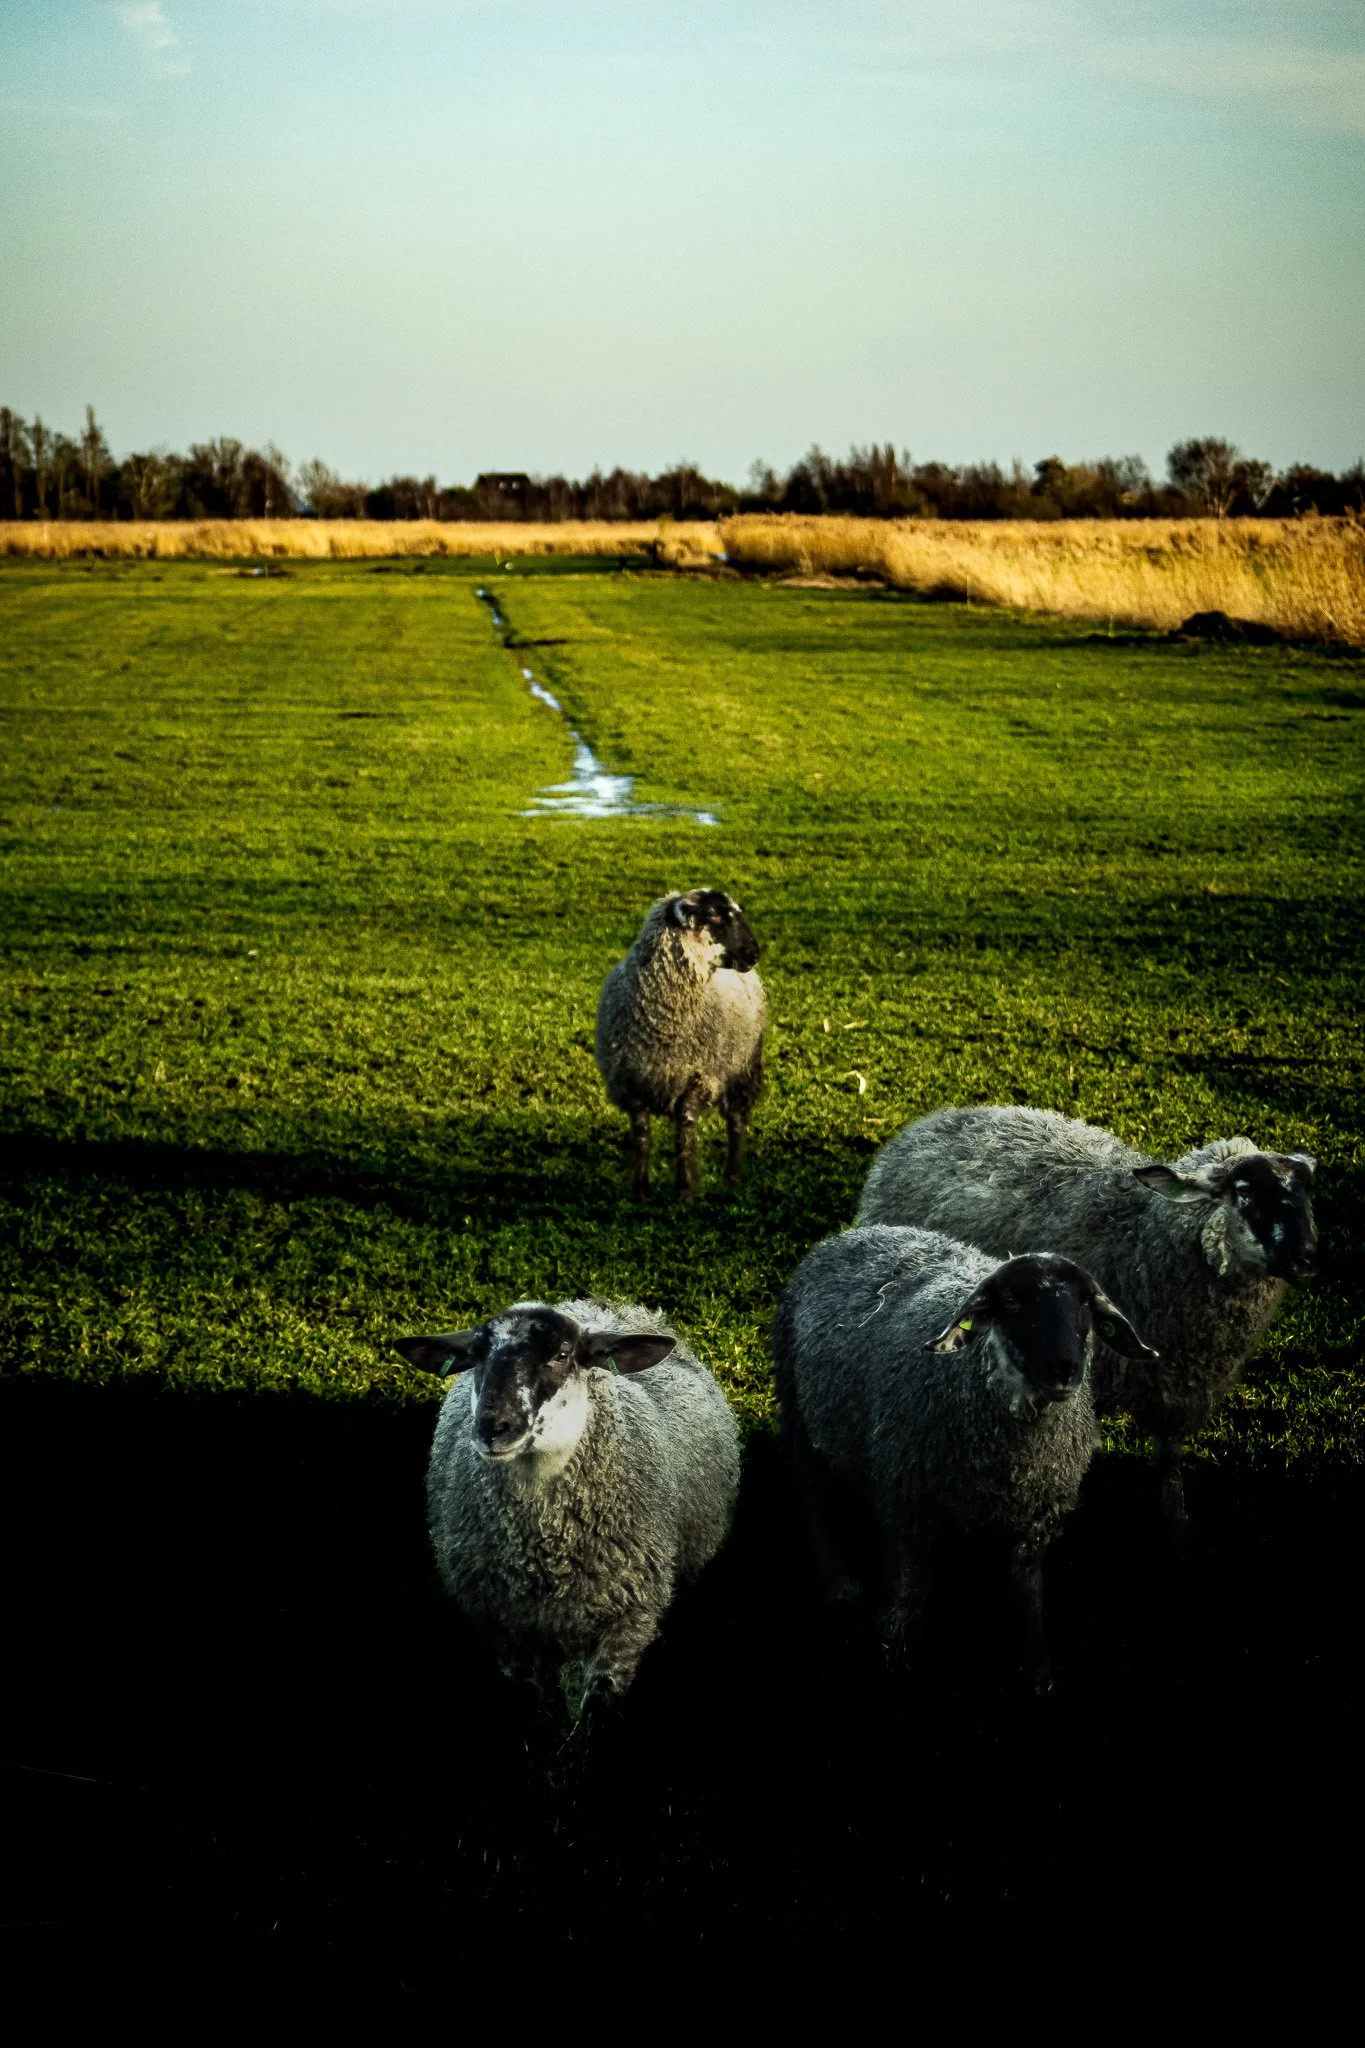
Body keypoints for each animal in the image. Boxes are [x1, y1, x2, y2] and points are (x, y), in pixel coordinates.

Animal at [395, 1295, 740, 1715]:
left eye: (562, 1355)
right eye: (476, 1355)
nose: (494, 1426)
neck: (545, 1553)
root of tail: (598, 1307)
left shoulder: (628, 1621)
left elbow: (595, 1712)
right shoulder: (505, 1630)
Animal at [595, 889, 766, 1202]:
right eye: (712, 915)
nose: (753, 954)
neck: (662, 1023)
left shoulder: (698, 1078)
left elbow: (684, 1133)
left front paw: (684, 1191)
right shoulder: (631, 1082)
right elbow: (642, 1137)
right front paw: (640, 1191)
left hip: (744, 1068)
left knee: (736, 1121)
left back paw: (733, 1176)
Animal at [773, 1225, 1155, 1692]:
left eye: (1084, 1302)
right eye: (1012, 1301)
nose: (1064, 1369)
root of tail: (853, 1233)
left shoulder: (1035, 1519)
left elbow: (1029, 1595)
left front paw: (1039, 1676)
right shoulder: (910, 1507)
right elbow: (910, 1589)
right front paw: (894, 1659)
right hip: (795, 1403)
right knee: (813, 1495)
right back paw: (837, 1583)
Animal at [856, 1107, 1318, 1532]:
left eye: (1306, 1194)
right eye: (1245, 1190)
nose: (1307, 1257)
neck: (1142, 1238)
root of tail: (937, 1118)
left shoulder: (1180, 1391)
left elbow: (1169, 1462)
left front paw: (1175, 1522)